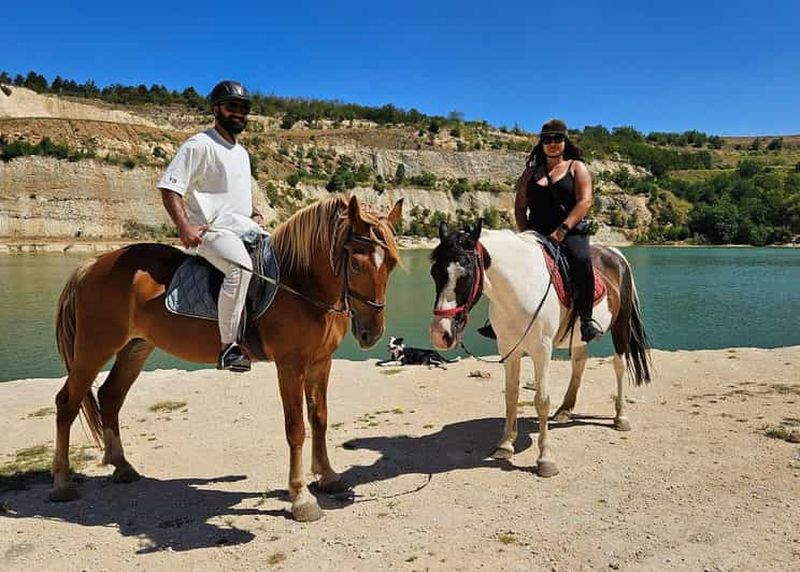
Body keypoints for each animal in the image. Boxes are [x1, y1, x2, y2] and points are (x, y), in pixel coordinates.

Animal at [52, 195, 402, 522]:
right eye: (355, 265)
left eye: (391, 264)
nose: (371, 333)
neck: (298, 282)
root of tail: (93, 264)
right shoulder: (290, 366)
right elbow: (296, 428)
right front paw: (301, 498)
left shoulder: (320, 363)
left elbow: (320, 419)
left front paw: (327, 476)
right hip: (94, 349)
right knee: (67, 403)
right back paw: (62, 482)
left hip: (135, 348)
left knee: (110, 397)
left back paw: (123, 467)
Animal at [429, 220, 651, 477]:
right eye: (434, 273)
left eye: (465, 275)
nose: (440, 334)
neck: (519, 286)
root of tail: (615, 254)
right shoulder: (509, 349)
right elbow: (511, 395)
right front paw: (505, 444)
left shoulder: (542, 350)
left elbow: (541, 400)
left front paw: (545, 460)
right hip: (579, 336)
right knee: (580, 361)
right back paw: (565, 410)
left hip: (620, 325)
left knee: (619, 365)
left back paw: (621, 417)